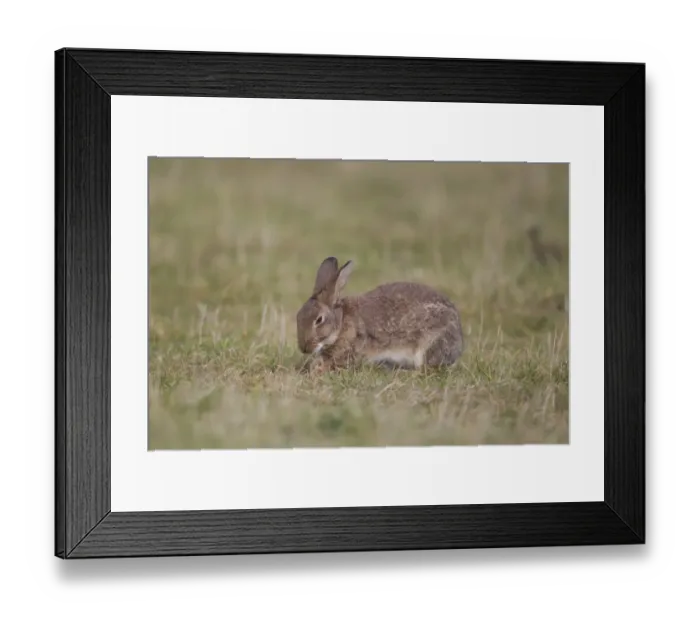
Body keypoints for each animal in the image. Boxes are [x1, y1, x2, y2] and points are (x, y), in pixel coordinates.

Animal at [296, 256, 464, 373]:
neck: (341, 323)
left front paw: (317, 370)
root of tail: (459, 345)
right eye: (298, 316)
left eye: (319, 320)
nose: (304, 348)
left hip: (429, 342)